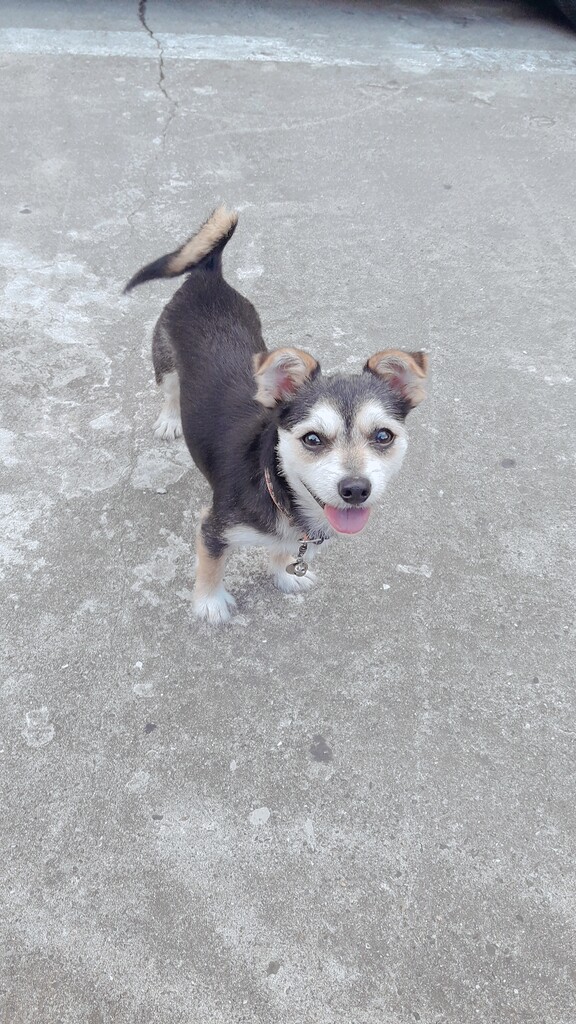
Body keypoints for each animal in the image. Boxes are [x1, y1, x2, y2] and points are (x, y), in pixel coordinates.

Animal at [124, 206, 428, 623]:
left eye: (383, 436)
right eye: (312, 439)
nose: (355, 490)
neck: (280, 490)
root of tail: (208, 274)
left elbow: (283, 552)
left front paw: (285, 574)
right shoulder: (213, 527)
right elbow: (211, 565)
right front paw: (209, 603)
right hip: (165, 360)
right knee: (170, 390)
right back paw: (170, 420)